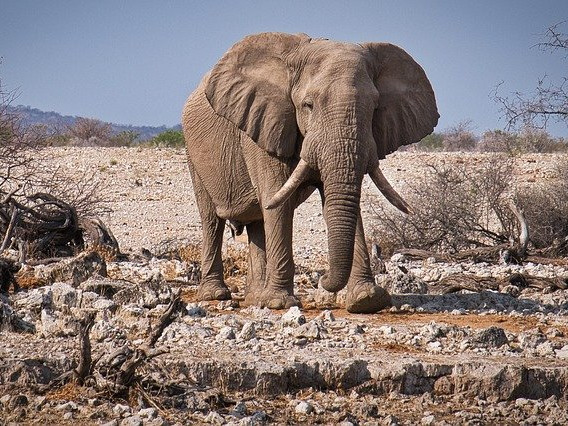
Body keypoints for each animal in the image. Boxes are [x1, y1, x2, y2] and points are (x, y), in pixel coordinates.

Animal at [182, 31, 440, 312]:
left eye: (374, 108)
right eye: (308, 105)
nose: (324, 280)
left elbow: (338, 201)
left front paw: (367, 300)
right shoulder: (265, 125)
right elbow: (277, 201)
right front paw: (280, 303)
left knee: (258, 222)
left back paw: (254, 298)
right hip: (193, 153)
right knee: (212, 220)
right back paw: (216, 295)